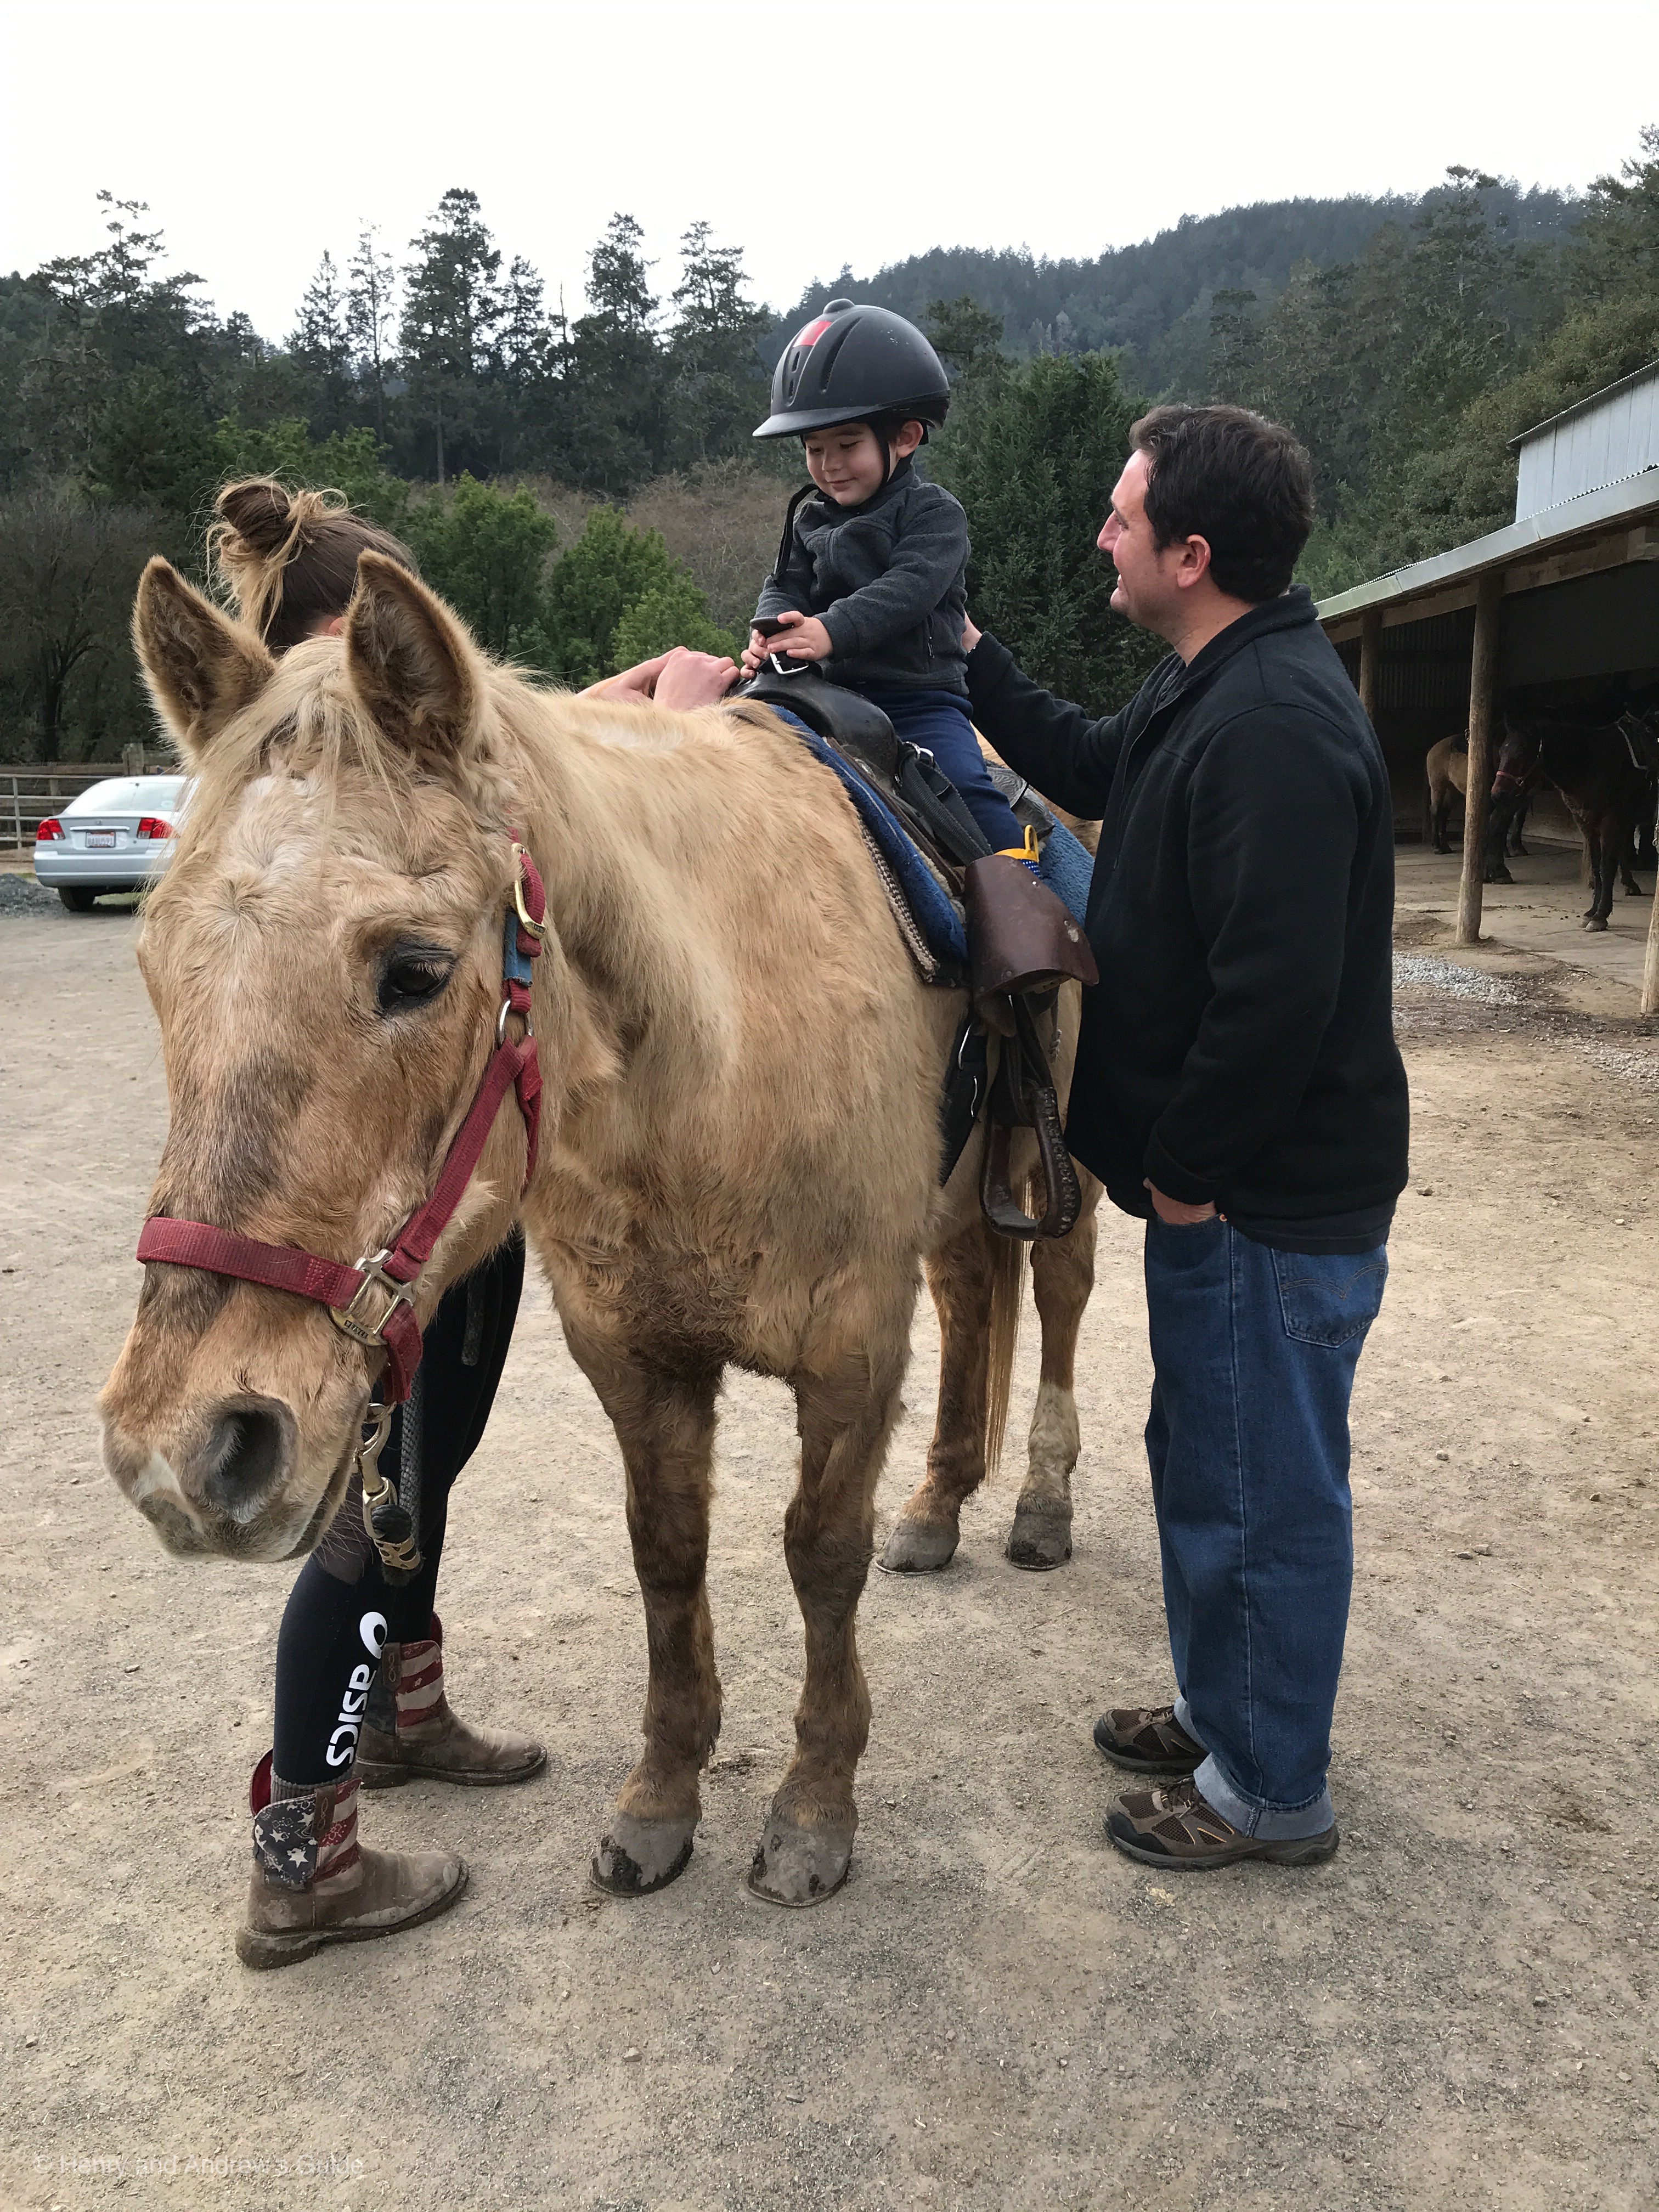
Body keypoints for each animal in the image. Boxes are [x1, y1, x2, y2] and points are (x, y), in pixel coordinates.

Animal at [97, 553, 1097, 1902]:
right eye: (156, 966)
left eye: (413, 970)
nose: (183, 1451)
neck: (715, 1045)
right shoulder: (635, 1359)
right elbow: (666, 1560)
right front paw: (663, 1799)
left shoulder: (849, 1350)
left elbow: (820, 1556)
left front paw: (813, 1808)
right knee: (972, 1294)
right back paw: (940, 1506)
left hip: (1058, 1167)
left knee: (1056, 1296)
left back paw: (1039, 1502)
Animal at [1495, 699, 1659, 924]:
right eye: (1501, 752)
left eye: (1520, 754)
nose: (1498, 793)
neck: (1593, 763)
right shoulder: (1587, 823)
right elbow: (1597, 866)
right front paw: (1593, 911)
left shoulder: (1611, 821)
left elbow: (1607, 866)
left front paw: (1601, 915)